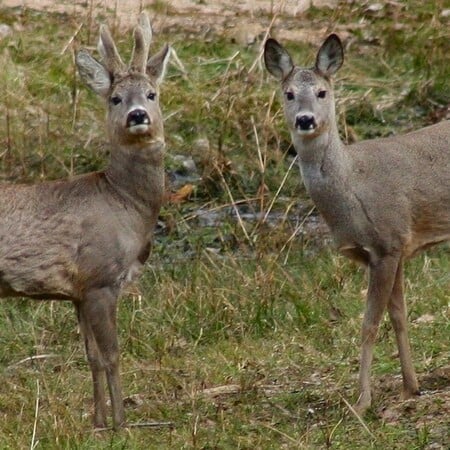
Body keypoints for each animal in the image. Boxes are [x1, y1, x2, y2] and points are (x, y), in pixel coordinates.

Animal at [0, 12, 171, 428]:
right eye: (115, 98)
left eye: (152, 94)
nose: (137, 115)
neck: (124, 204)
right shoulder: (100, 278)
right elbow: (112, 355)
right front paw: (121, 423)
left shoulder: (78, 292)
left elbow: (91, 357)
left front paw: (98, 421)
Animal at [264, 34, 450, 414]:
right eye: (288, 94)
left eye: (322, 92)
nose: (305, 120)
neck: (352, 185)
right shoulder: (392, 249)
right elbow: (398, 315)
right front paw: (410, 387)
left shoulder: (388, 242)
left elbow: (369, 324)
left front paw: (362, 400)